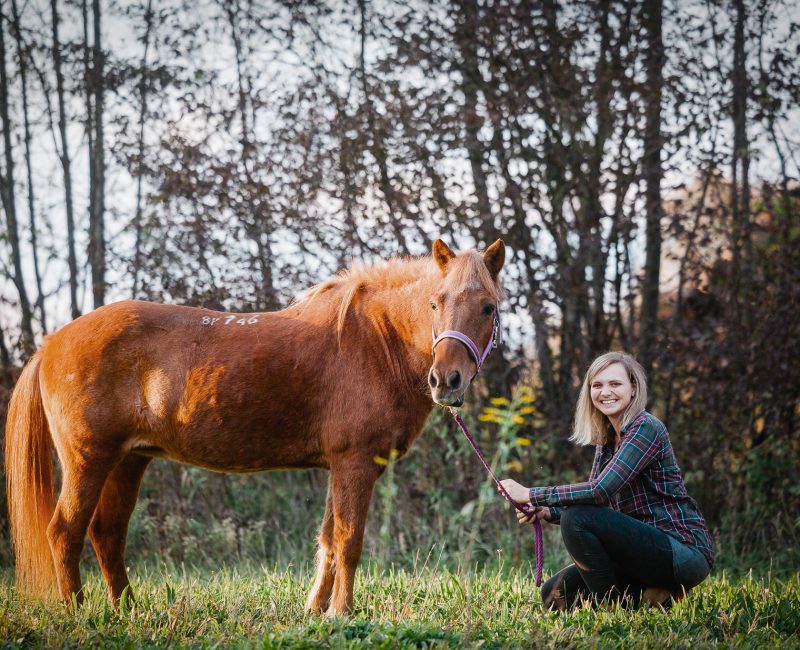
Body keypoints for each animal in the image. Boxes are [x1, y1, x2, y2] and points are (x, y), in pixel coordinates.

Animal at [4, 237, 506, 612]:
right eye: (435, 303)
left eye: (487, 307)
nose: (446, 380)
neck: (378, 340)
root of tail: (53, 341)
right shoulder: (354, 464)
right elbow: (348, 542)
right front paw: (342, 613)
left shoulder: (339, 467)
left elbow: (327, 541)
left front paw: (315, 611)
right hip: (89, 460)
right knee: (65, 532)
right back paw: (79, 613)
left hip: (128, 461)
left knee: (107, 534)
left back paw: (127, 609)